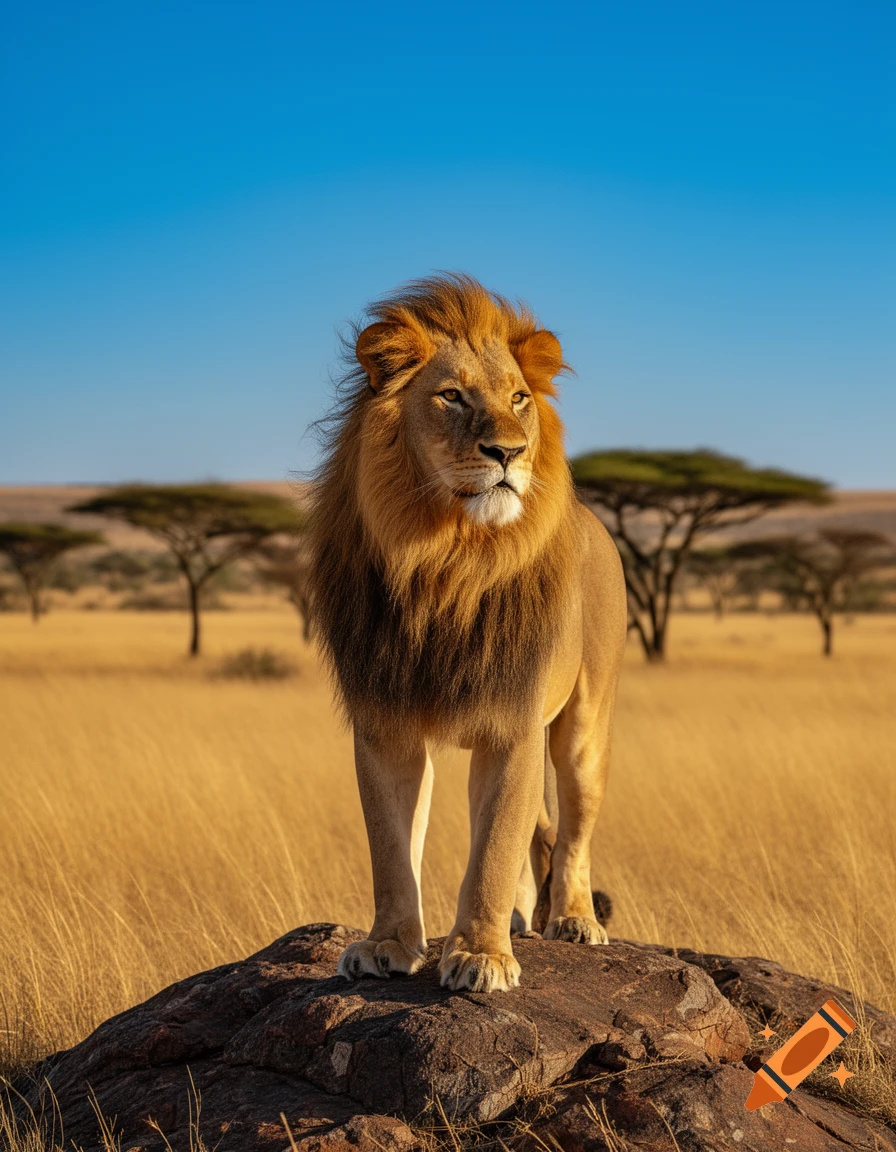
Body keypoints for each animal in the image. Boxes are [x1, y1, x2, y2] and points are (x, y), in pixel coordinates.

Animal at [308, 273, 627, 993]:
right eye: (451, 396)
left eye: (518, 399)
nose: (508, 452)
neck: (446, 561)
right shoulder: (385, 723)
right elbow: (392, 848)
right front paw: (387, 944)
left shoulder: (511, 723)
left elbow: (493, 850)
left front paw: (481, 955)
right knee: (537, 831)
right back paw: (522, 918)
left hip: (584, 726)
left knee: (574, 831)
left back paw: (571, 919)